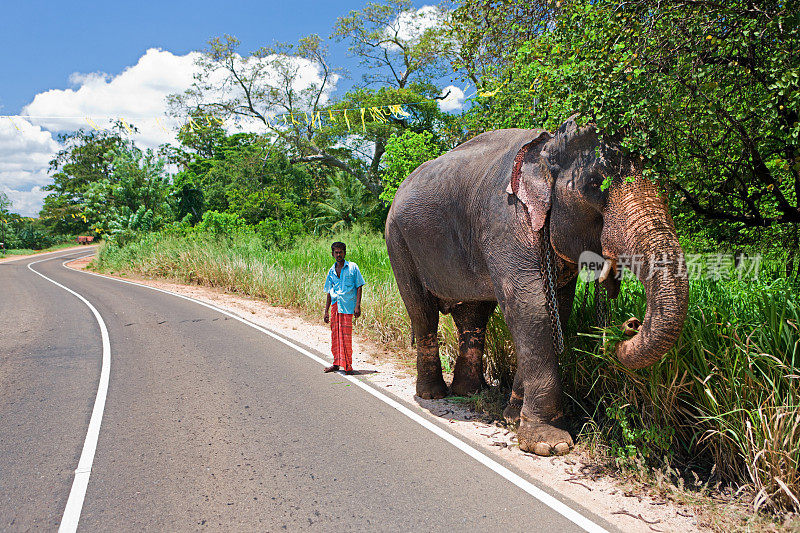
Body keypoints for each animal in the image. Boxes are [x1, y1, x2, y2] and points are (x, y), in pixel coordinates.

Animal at [386, 116, 688, 458]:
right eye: (594, 185)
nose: (629, 326)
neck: (547, 147)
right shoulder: (505, 222)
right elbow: (531, 309)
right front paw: (549, 445)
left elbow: (558, 309)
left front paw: (511, 418)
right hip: (398, 241)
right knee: (423, 313)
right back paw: (433, 396)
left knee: (472, 317)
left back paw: (469, 393)